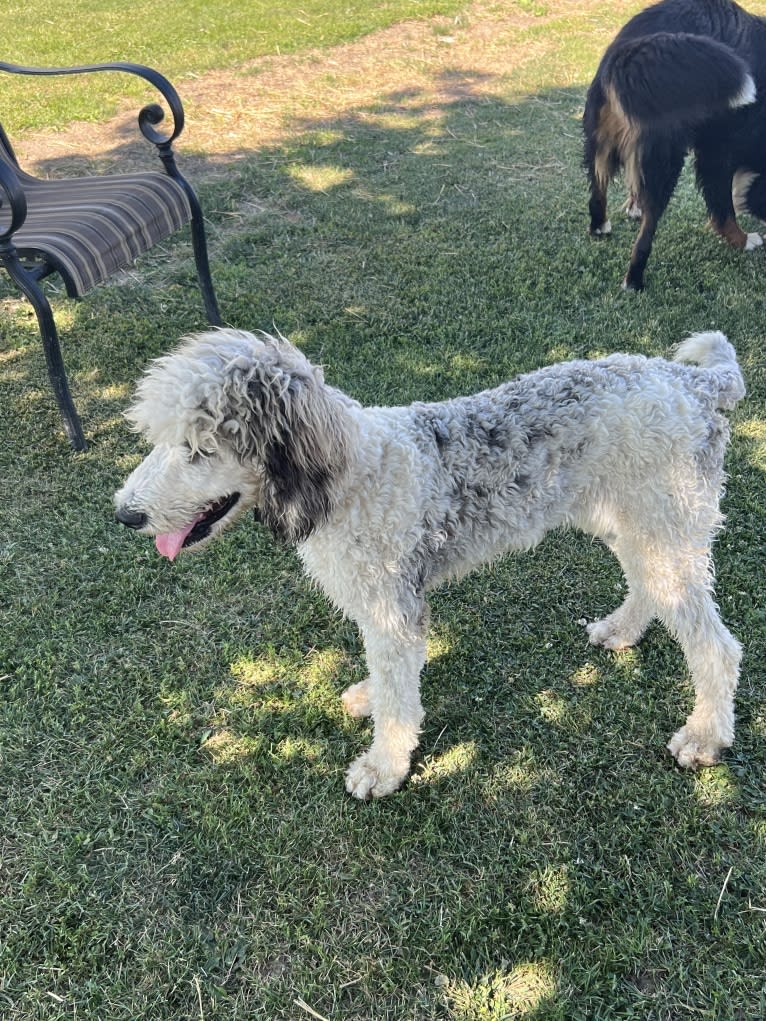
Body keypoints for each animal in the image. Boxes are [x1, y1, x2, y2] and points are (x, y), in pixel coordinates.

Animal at [116, 326, 747, 796]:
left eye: (200, 448)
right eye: (159, 438)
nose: (125, 514)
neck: (352, 477)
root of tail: (695, 381)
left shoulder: (394, 611)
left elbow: (400, 698)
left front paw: (383, 768)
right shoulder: (381, 609)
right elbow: (386, 678)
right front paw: (369, 699)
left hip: (665, 525)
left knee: (717, 647)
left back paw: (705, 736)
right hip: (628, 524)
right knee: (648, 588)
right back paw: (622, 629)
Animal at [584, 0, 766, 289]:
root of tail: (630, 50)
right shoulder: (717, 151)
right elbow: (724, 208)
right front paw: (744, 240)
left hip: (597, 140)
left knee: (597, 190)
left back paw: (602, 225)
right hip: (666, 155)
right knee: (645, 235)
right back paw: (634, 281)